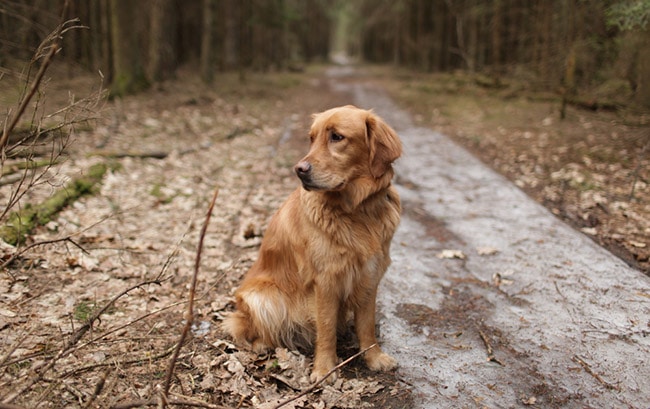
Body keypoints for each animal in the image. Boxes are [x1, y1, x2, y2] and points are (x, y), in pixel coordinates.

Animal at [225, 104, 402, 380]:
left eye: (337, 137)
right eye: (312, 138)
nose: (299, 170)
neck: (357, 212)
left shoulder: (370, 274)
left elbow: (366, 325)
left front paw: (373, 357)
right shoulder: (326, 279)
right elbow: (326, 327)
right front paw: (325, 369)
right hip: (262, 298)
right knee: (249, 328)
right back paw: (264, 344)